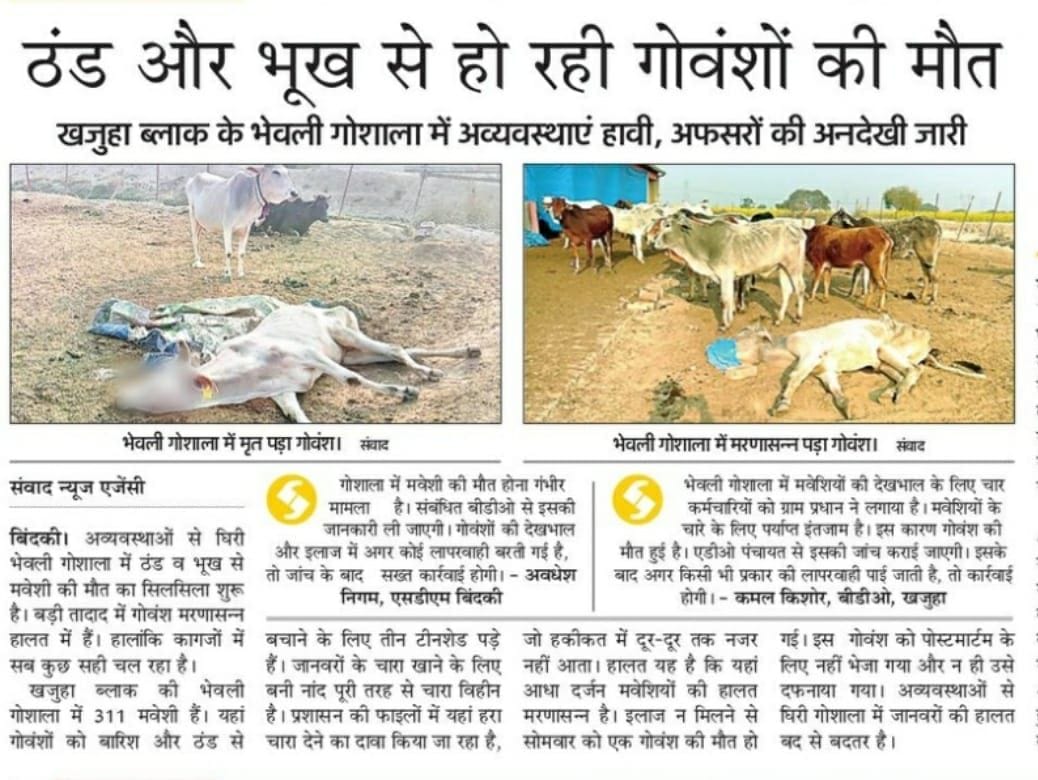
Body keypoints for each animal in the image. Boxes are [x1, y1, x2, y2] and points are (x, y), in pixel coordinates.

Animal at [115, 303, 480, 423]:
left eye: (156, 382)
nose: (120, 397)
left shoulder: (308, 355)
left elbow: (350, 381)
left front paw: (404, 392)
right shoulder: (284, 392)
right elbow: (296, 417)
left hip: (343, 333)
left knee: (394, 347)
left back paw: (423, 375)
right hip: (351, 351)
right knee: (405, 348)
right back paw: (460, 354)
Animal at [649, 214, 806, 330]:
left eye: (668, 225)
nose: (653, 243)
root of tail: (798, 229)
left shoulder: (725, 275)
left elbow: (725, 300)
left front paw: (724, 325)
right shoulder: (728, 277)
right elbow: (730, 299)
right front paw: (730, 318)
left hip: (794, 267)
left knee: (800, 289)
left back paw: (798, 318)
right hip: (783, 267)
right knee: (787, 291)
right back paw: (779, 319)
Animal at [725, 315, 983, 419]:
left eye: (743, 332)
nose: (724, 344)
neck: (784, 349)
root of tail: (928, 343)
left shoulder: (809, 354)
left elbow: (794, 378)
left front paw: (782, 405)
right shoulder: (826, 372)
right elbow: (837, 395)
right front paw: (848, 412)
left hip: (886, 350)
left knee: (914, 371)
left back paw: (896, 395)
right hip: (881, 363)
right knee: (904, 375)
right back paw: (890, 393)